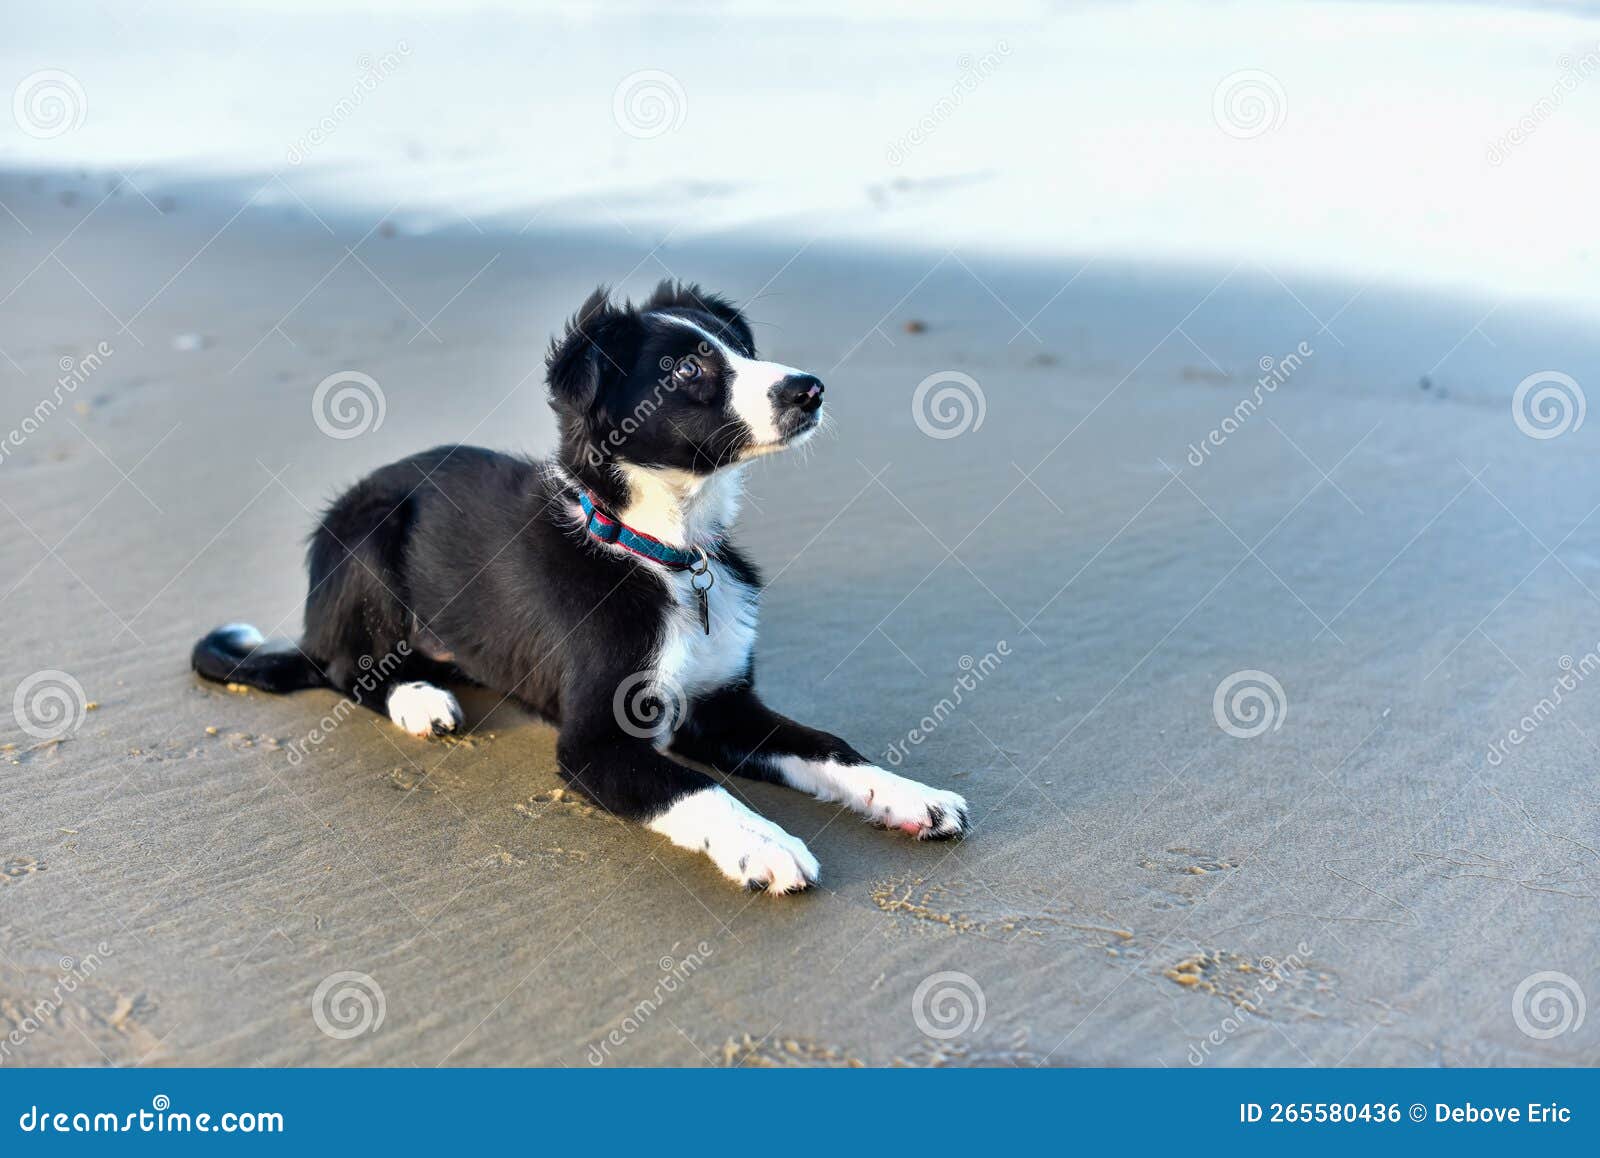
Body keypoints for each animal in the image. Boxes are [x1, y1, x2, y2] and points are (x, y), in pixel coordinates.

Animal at [187, 283, 960, 895]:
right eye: (687, 366)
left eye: (741, 348)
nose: (810, 388)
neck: (662, 553)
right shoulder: (593, 739)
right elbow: (697, 785)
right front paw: (765, 843)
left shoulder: (723, 707)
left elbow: (829, 745)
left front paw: (911, 795)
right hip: (370, 533)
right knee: (344, 668)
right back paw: (419, 700)